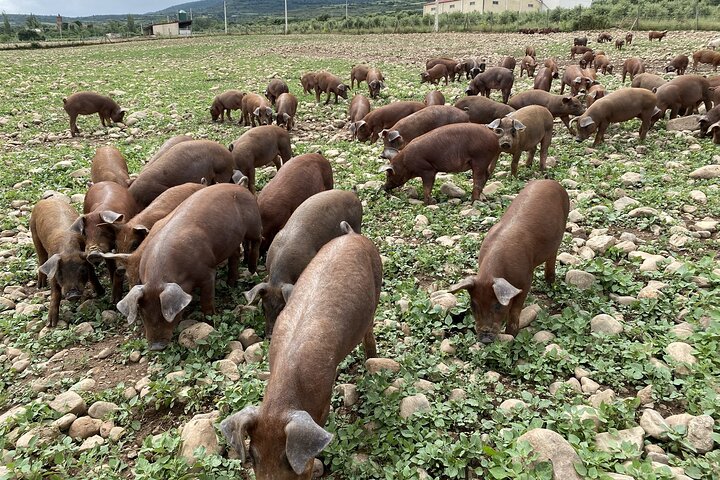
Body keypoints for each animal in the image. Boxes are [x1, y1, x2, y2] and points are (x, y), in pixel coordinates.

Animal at [31, 198, 104, 327]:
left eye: (82, 271)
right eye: (60, 273)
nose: (73, 294)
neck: (68, 250)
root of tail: (47, 199)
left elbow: (93, 275)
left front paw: (101, 292)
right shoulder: (53, 271)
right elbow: (55, 293)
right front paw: (51, 324)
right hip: (34, 235)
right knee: (41, 259)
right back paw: (40, 286)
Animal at [116, 183, 262, 350]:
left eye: (164, 314)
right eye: (143, 313)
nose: (156, 347)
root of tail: (241, 187)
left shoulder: (207, 272)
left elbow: (207, 300)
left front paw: (211, 321)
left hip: (253, 223)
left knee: (258, 239)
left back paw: (252, 269)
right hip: (231, 240)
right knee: (236, 253)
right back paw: (231, 283)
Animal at [447, 180, 569, 343]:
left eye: (497, 306)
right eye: (473, 305)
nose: (485, 339)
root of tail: (550, 181)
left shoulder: (526, 279)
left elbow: (516, 309)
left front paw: (511, 335)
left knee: (553, 255)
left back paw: (550, 282)